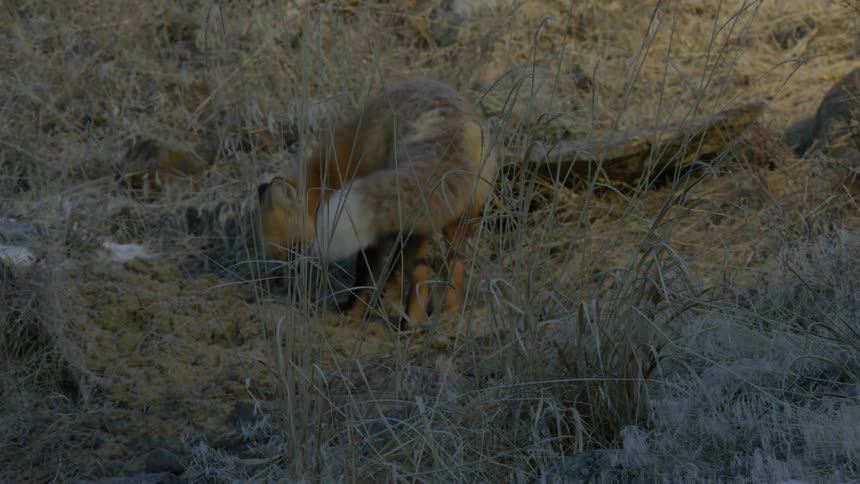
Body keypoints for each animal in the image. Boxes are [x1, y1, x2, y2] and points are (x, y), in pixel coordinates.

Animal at [255, 77, 497, 326]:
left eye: (293, 251)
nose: (292, 289)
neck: (329, 172)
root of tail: (451, 129)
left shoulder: (372, 234)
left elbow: (365, 274)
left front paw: (354, 311)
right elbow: (394, 272)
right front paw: (384, 301)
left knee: (419, 274)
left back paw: (409, 323)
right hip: (453, 220)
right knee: (451, 267)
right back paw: (449, 313)